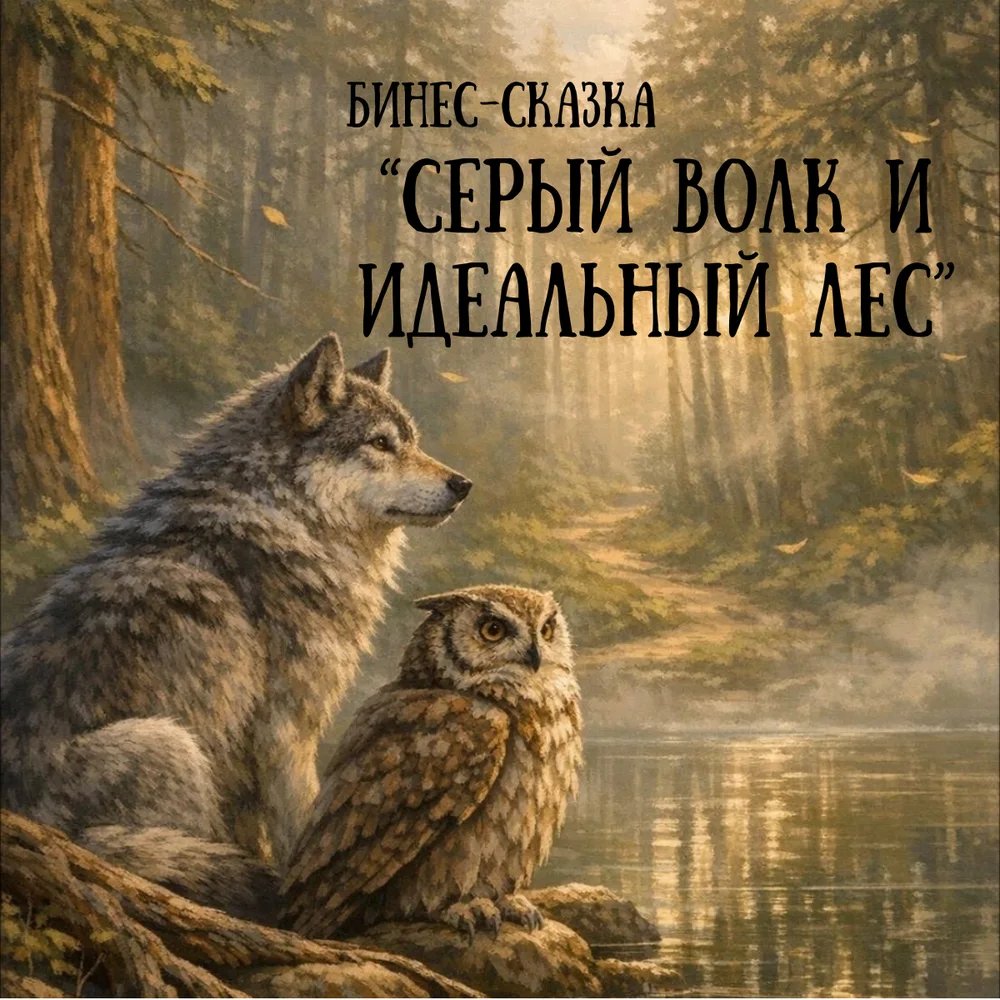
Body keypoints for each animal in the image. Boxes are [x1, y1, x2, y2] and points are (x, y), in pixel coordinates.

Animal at [0, 334, 472, 918]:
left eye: (410, 442)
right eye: (381, 444)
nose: (463, 484)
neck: (283, 518)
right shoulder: (285, 729)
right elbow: (301, 828)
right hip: (169, 742)